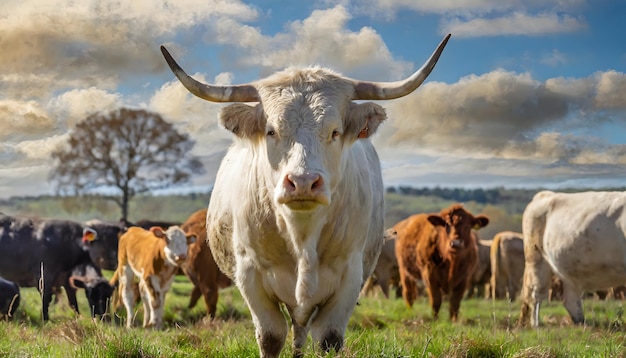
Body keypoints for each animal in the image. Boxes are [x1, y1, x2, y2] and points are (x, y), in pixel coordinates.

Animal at [158, 34, 446, 358]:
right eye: (271, 131)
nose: (303, 182)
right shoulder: (250, 275)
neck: (302, 233)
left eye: (335, 132)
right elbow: (271, 336)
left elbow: (328, 337)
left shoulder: (349, 277)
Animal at [516, 190, 626, 328]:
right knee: (536, 294)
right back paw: (536, 324)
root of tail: (546, 194)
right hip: (536, 260)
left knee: (570, 299)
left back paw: (581, 322)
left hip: (571, 271)